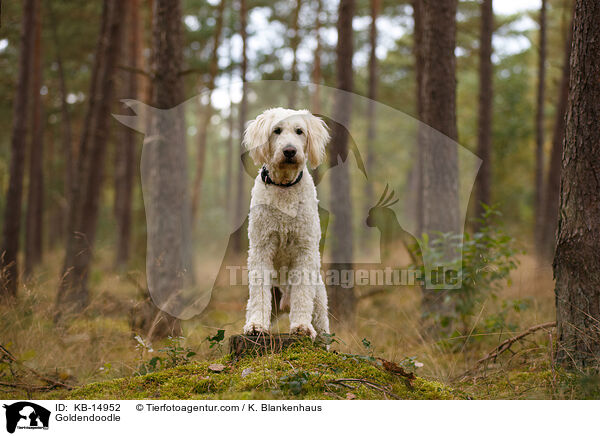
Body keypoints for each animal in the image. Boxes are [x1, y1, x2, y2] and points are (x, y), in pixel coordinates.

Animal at [240, 107, 332, 338]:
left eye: (299, 131)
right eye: (277, 130)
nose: (290, 151)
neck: (284, 186)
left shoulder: (304, 249)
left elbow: (302, 293)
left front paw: (301, 326)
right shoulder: (261, 248)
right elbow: (258, 293)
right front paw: (256, 325)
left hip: (319, 304)